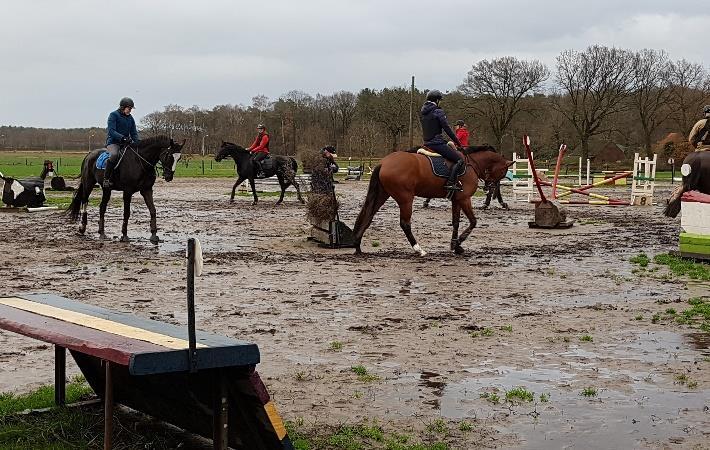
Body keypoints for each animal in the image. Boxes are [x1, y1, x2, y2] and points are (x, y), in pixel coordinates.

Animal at [354, 145, 512, 255]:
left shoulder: (456, 200)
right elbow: (473, 222)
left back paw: (357, 245)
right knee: (405, 224)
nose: (489, 188)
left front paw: (455, 245)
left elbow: (456, 222)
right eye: (503, 172)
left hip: (382, 194)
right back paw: (419, 249)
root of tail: (384, 163)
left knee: (368, 215)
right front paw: (459, 242)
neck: (471, 164)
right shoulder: (465, 199)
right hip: (406, 199)